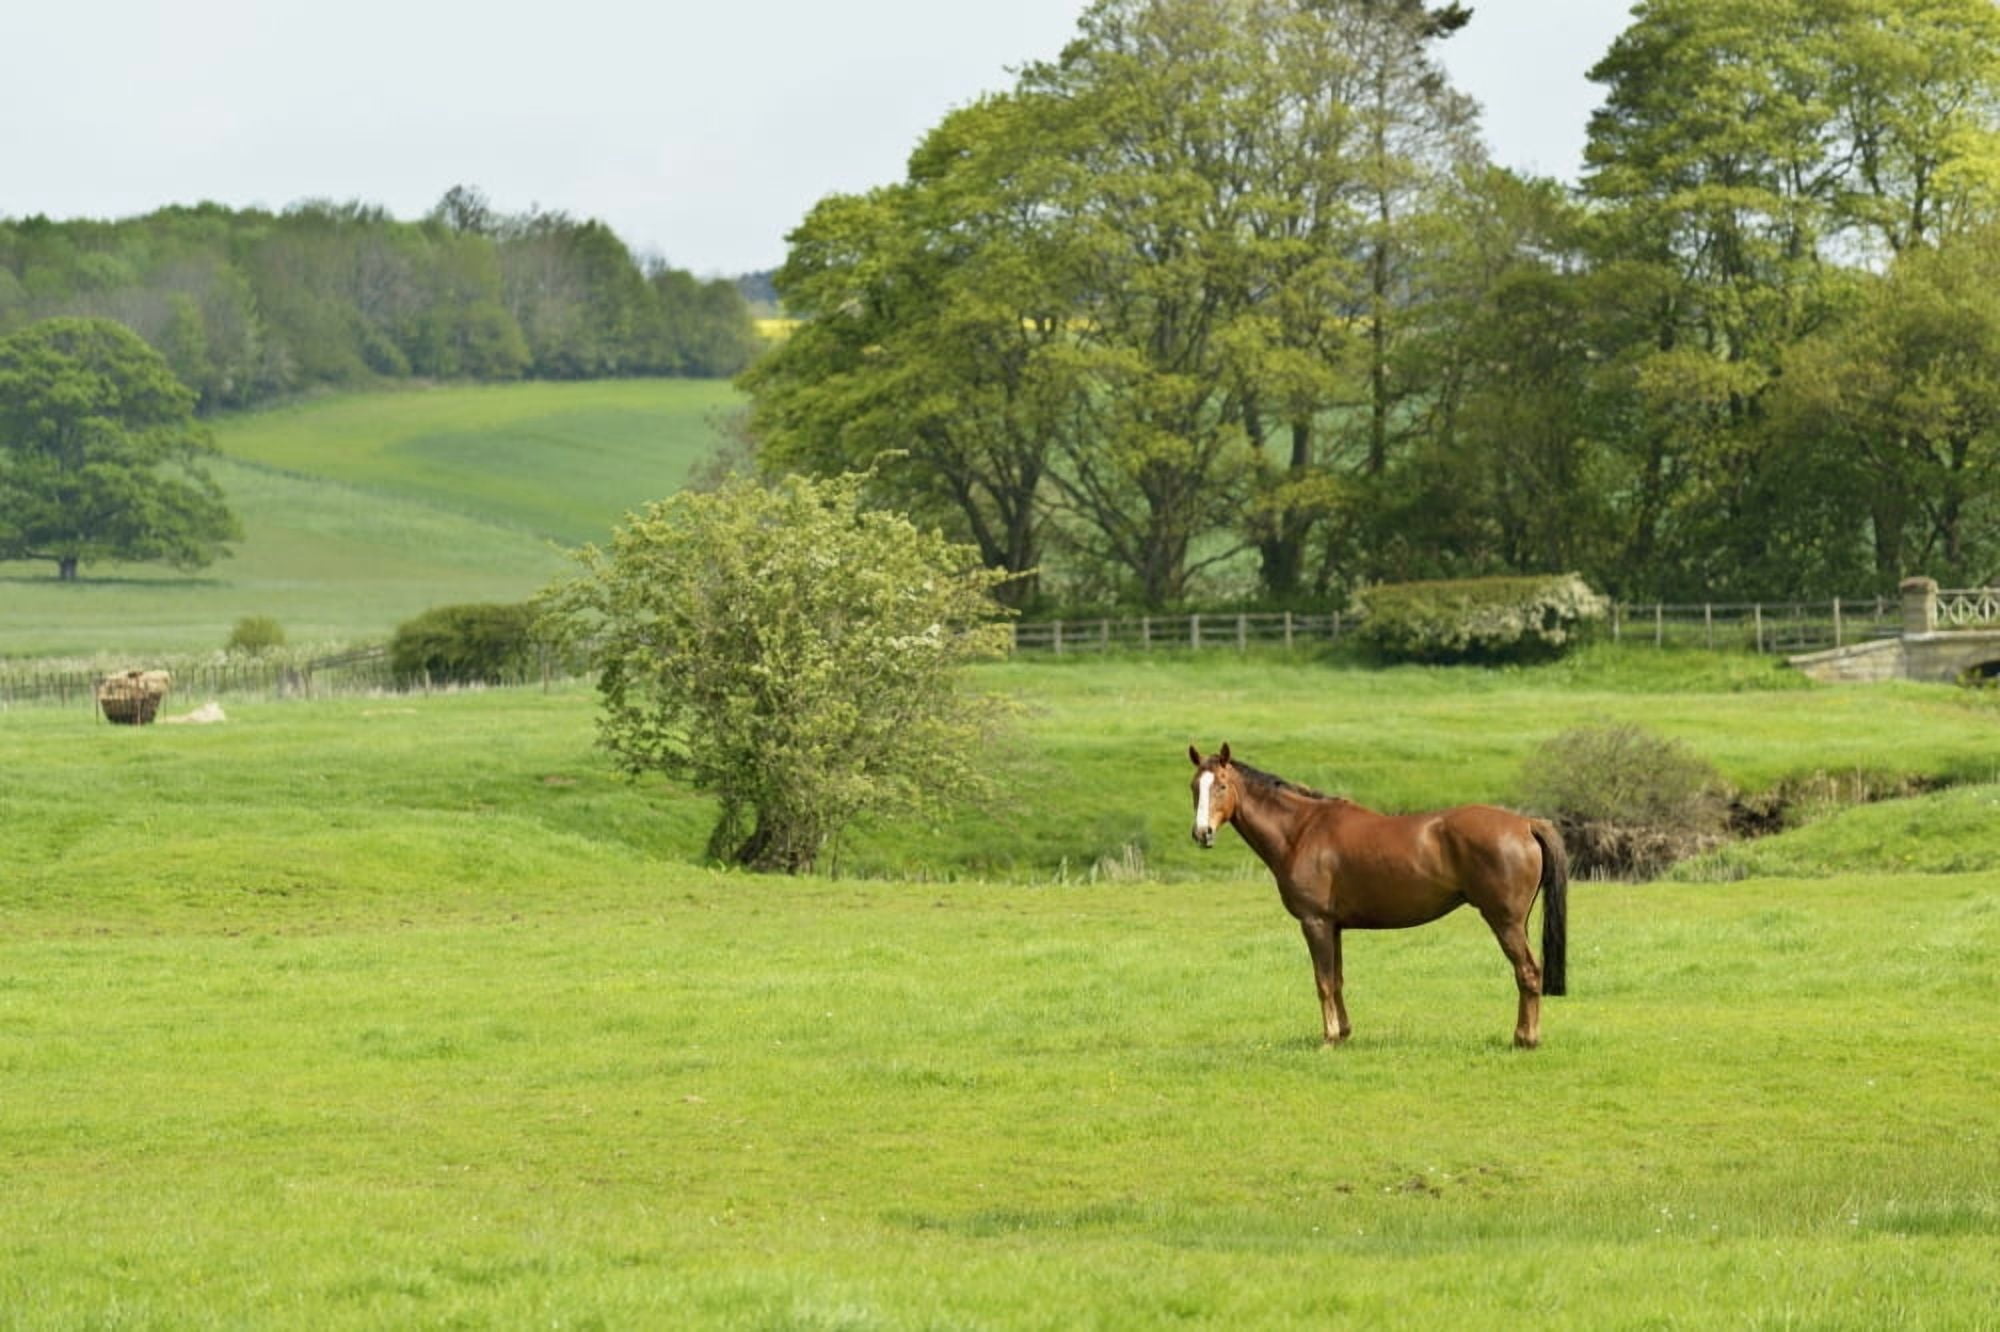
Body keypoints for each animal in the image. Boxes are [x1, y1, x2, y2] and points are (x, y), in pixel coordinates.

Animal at [1189, 743, 1568, 1049]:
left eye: (1221, 785)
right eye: (1194, 787)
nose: (1201, 833)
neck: (1301, 830)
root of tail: (1526, 824)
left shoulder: (1315, 922)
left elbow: (1322, 981)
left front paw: (1328, 1039)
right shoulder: (1334, 926)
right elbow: (1337, 979)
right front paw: (1343, 1033)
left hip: (1505, 922)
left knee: (1528, 972)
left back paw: (1525, 1039)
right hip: (1519, 922)